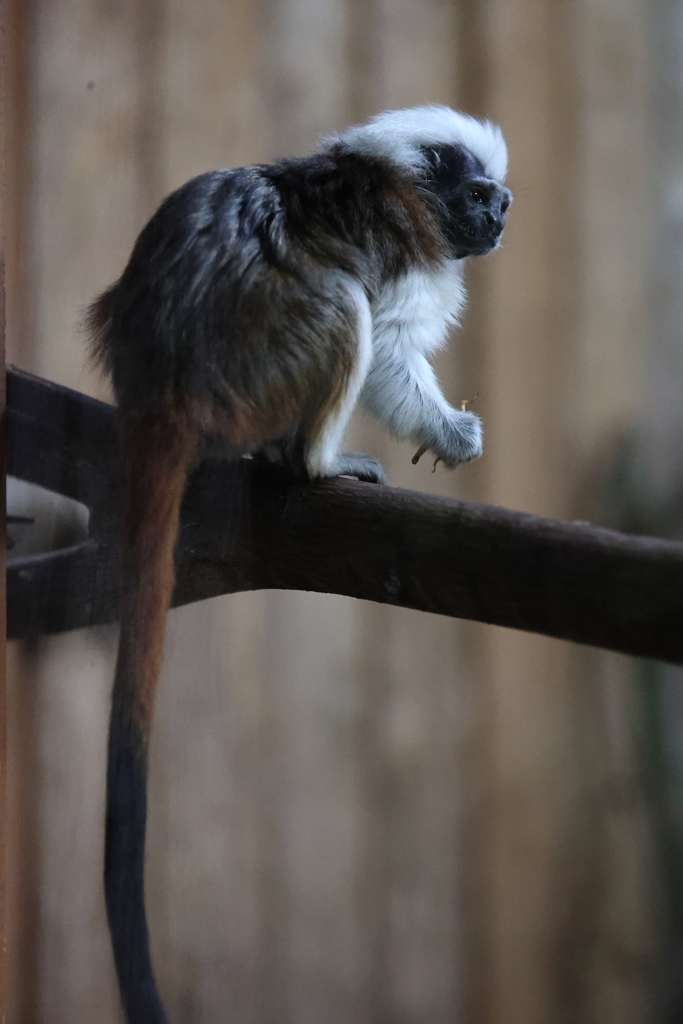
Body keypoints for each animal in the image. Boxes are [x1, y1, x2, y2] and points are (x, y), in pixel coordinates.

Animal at [85, 105, 509, 1024]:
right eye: (477, 198)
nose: (501, 220)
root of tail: (166, 372)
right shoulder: (411, 256)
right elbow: (388, 349)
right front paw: (449, 433)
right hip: (256, 367)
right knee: (342, 304)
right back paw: (312, 461)